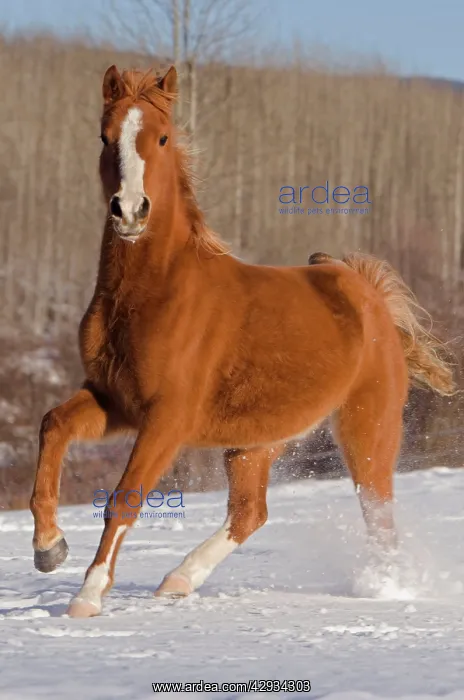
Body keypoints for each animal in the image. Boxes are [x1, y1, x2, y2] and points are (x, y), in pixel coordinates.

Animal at [29, 64, 455, 618]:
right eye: (104, 137)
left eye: (162, 138)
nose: (129, 212)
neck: (156, 293)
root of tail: (369, 294)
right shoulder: (113, 401)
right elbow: (53, 425)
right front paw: (48, 548)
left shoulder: (167, 419)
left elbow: (124, 497)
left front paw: (87, 596)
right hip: (257, 442)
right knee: (251, 512)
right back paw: (177, 581)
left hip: (367, 428)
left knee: (378, 516)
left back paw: (386, 588)